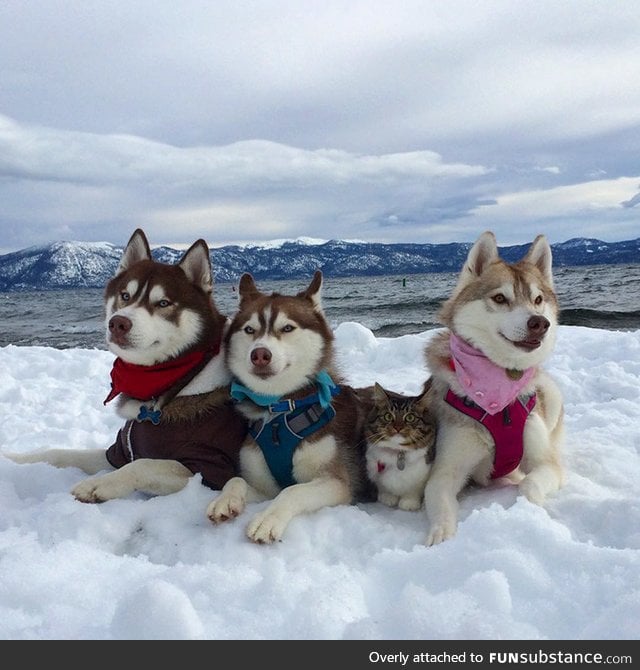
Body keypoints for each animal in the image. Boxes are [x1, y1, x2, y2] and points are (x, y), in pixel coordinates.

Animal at [7, 230, 248, 498]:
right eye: (125, 296)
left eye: (163, 303)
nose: (117, 323)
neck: (177, 380)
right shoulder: (118, 451)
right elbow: (60, 454)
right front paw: (15, 459)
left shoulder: (209, 469)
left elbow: (143, 464)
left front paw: (97, 484)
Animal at [208, 270, 372, 544]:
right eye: (249, 329)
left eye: (287, 328)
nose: (259, 354)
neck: (280, 411)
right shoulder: (265, 487)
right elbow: (236, 479)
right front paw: (225, 500)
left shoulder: (338, 481)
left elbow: (294, 491)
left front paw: (267, 519)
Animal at [362, 380, 438, 512]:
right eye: (388, 416)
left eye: (410, 417)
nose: (398, 427)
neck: (397, 453)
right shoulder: (374, 469)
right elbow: (385, 488)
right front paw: (388, 498)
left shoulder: (422, 474)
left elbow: (413, 490)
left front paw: (409, 503)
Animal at [422, 231, 564, 544]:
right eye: (500, 298)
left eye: (538, 299)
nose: (540, 323)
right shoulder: (445, 471)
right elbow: (439, 499)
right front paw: (440, 534)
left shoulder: (547, 463)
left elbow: (530, 484)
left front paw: (531, 509)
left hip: (551, 393)